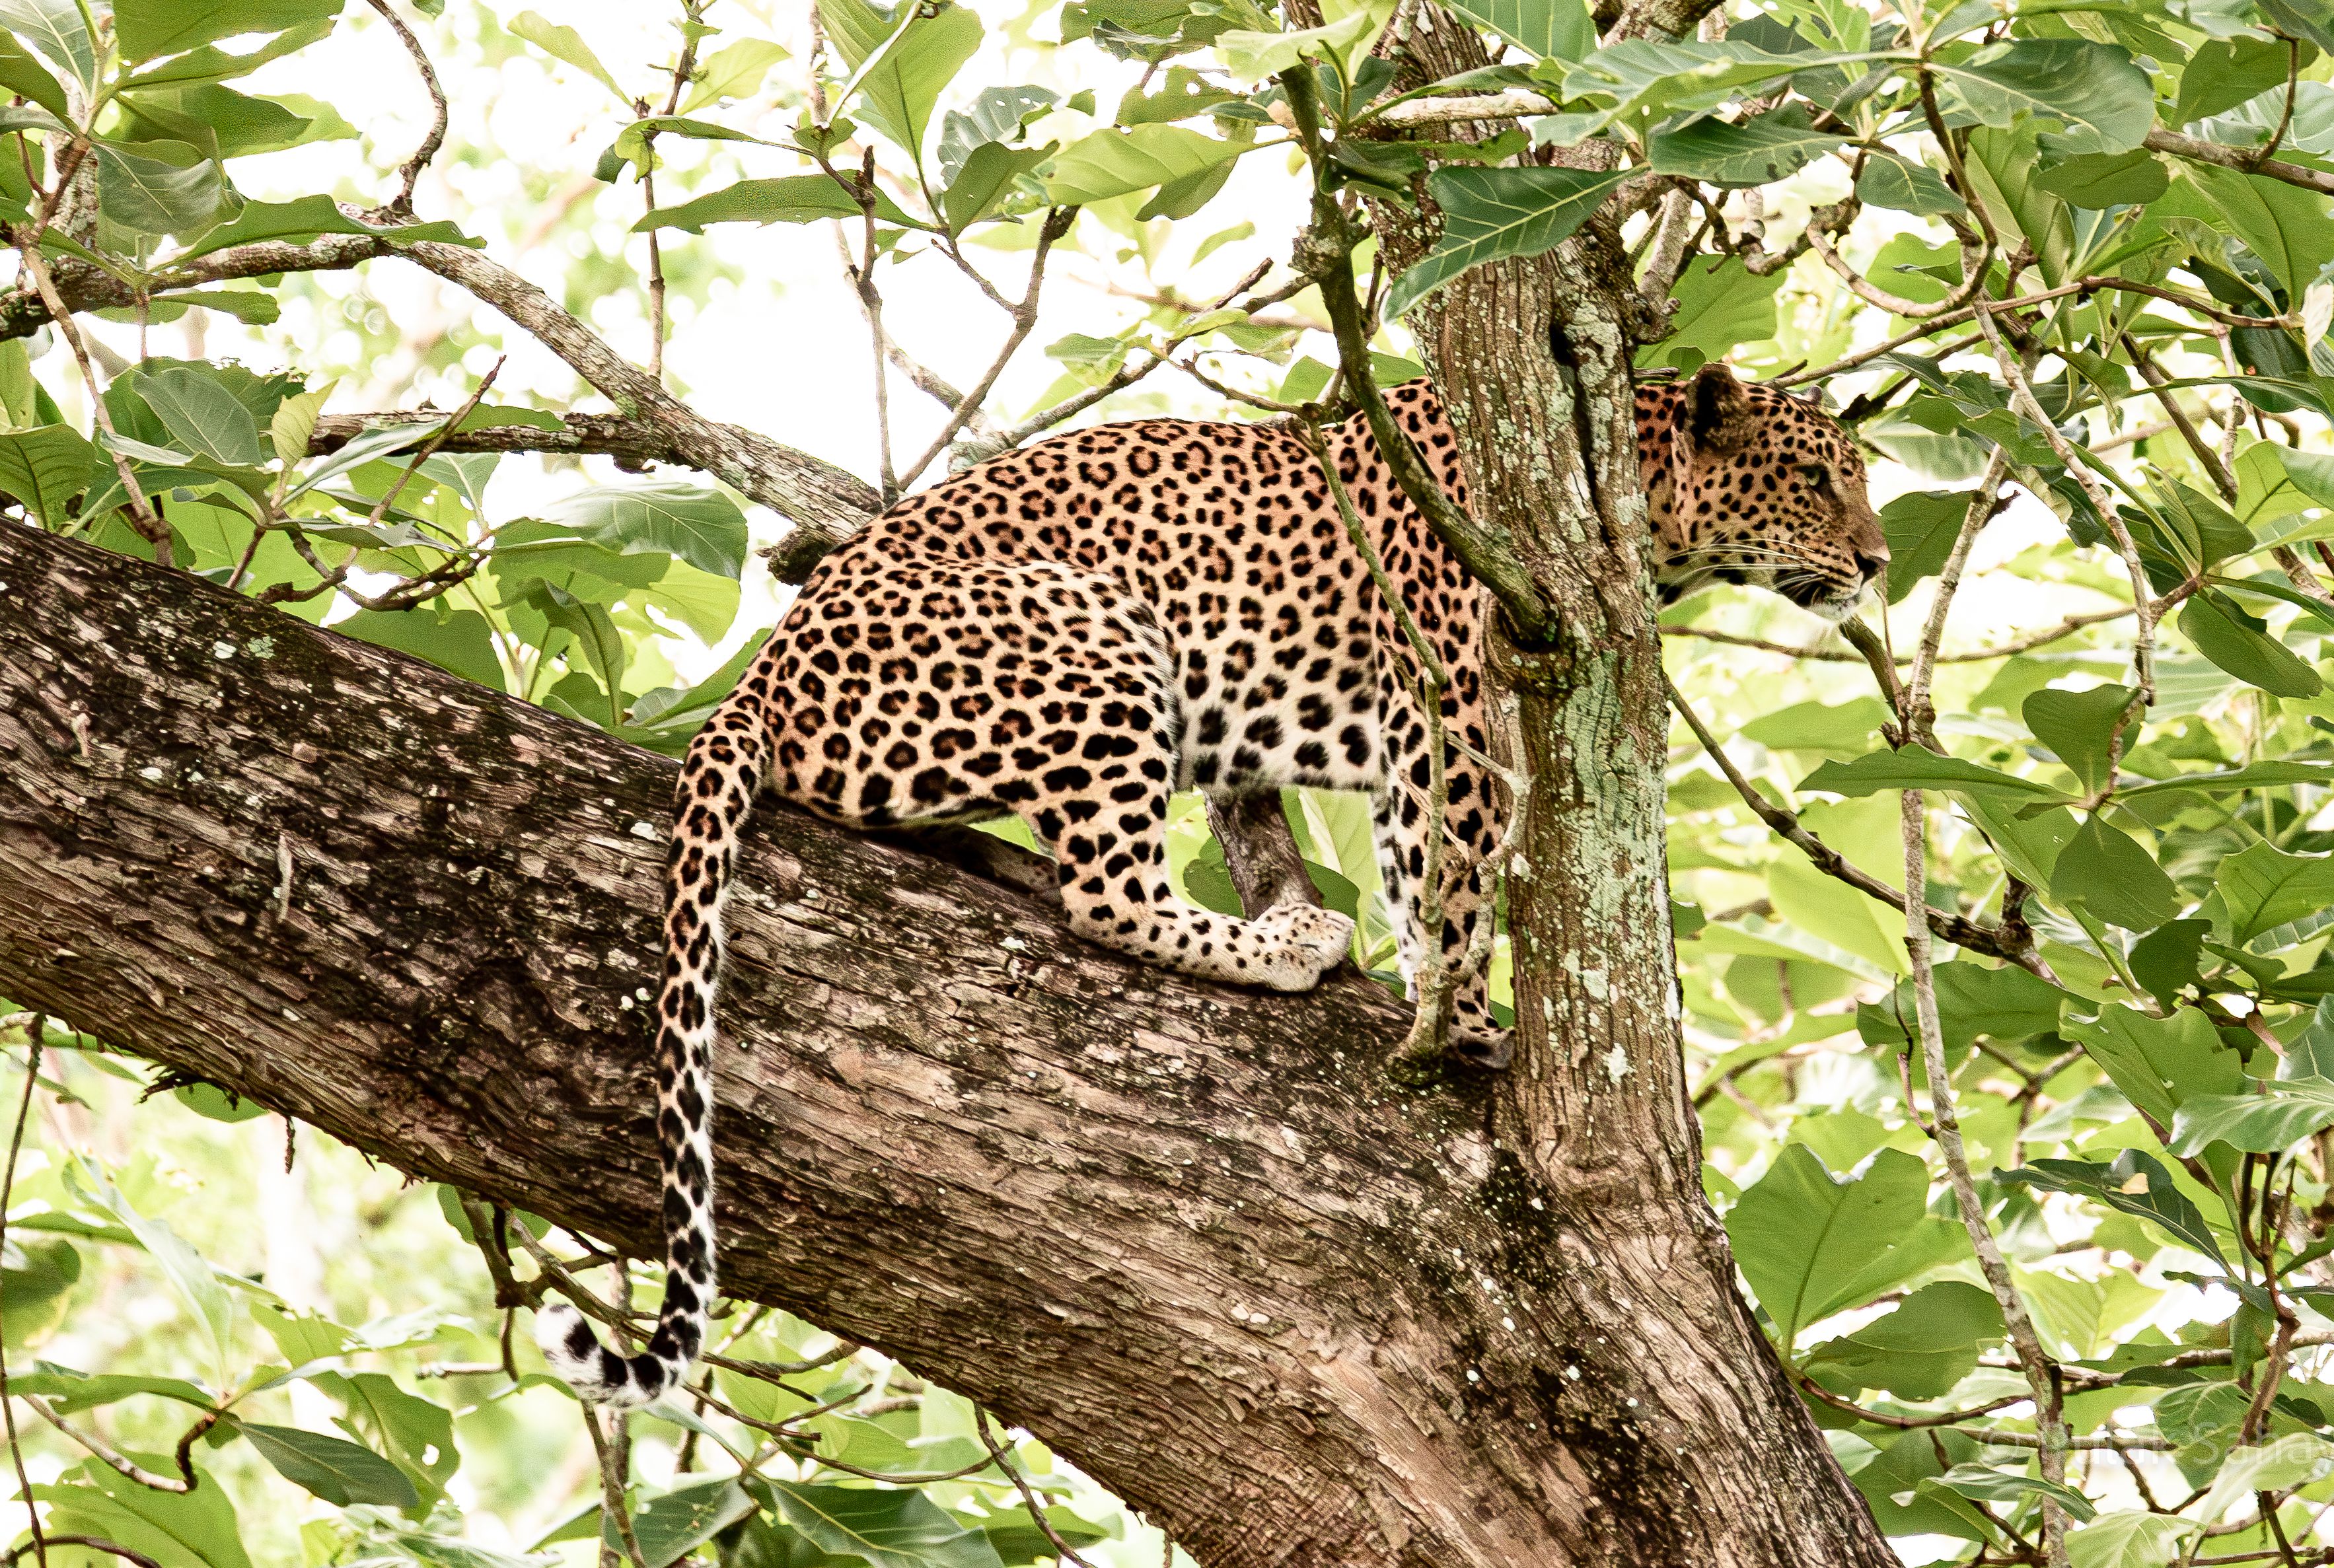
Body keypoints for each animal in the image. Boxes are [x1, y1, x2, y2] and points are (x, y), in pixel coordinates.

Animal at [536, 359, 1889, 1407]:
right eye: (1821, 476)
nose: (1879, 560)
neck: (1629, 486)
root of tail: (764, 669)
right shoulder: (1451, 703)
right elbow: (1446, 882)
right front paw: (1466, 1025)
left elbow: (1413, 870)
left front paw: (1444, 1007)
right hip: (1092, 642)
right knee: (1102, 888)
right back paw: (1286, 939)